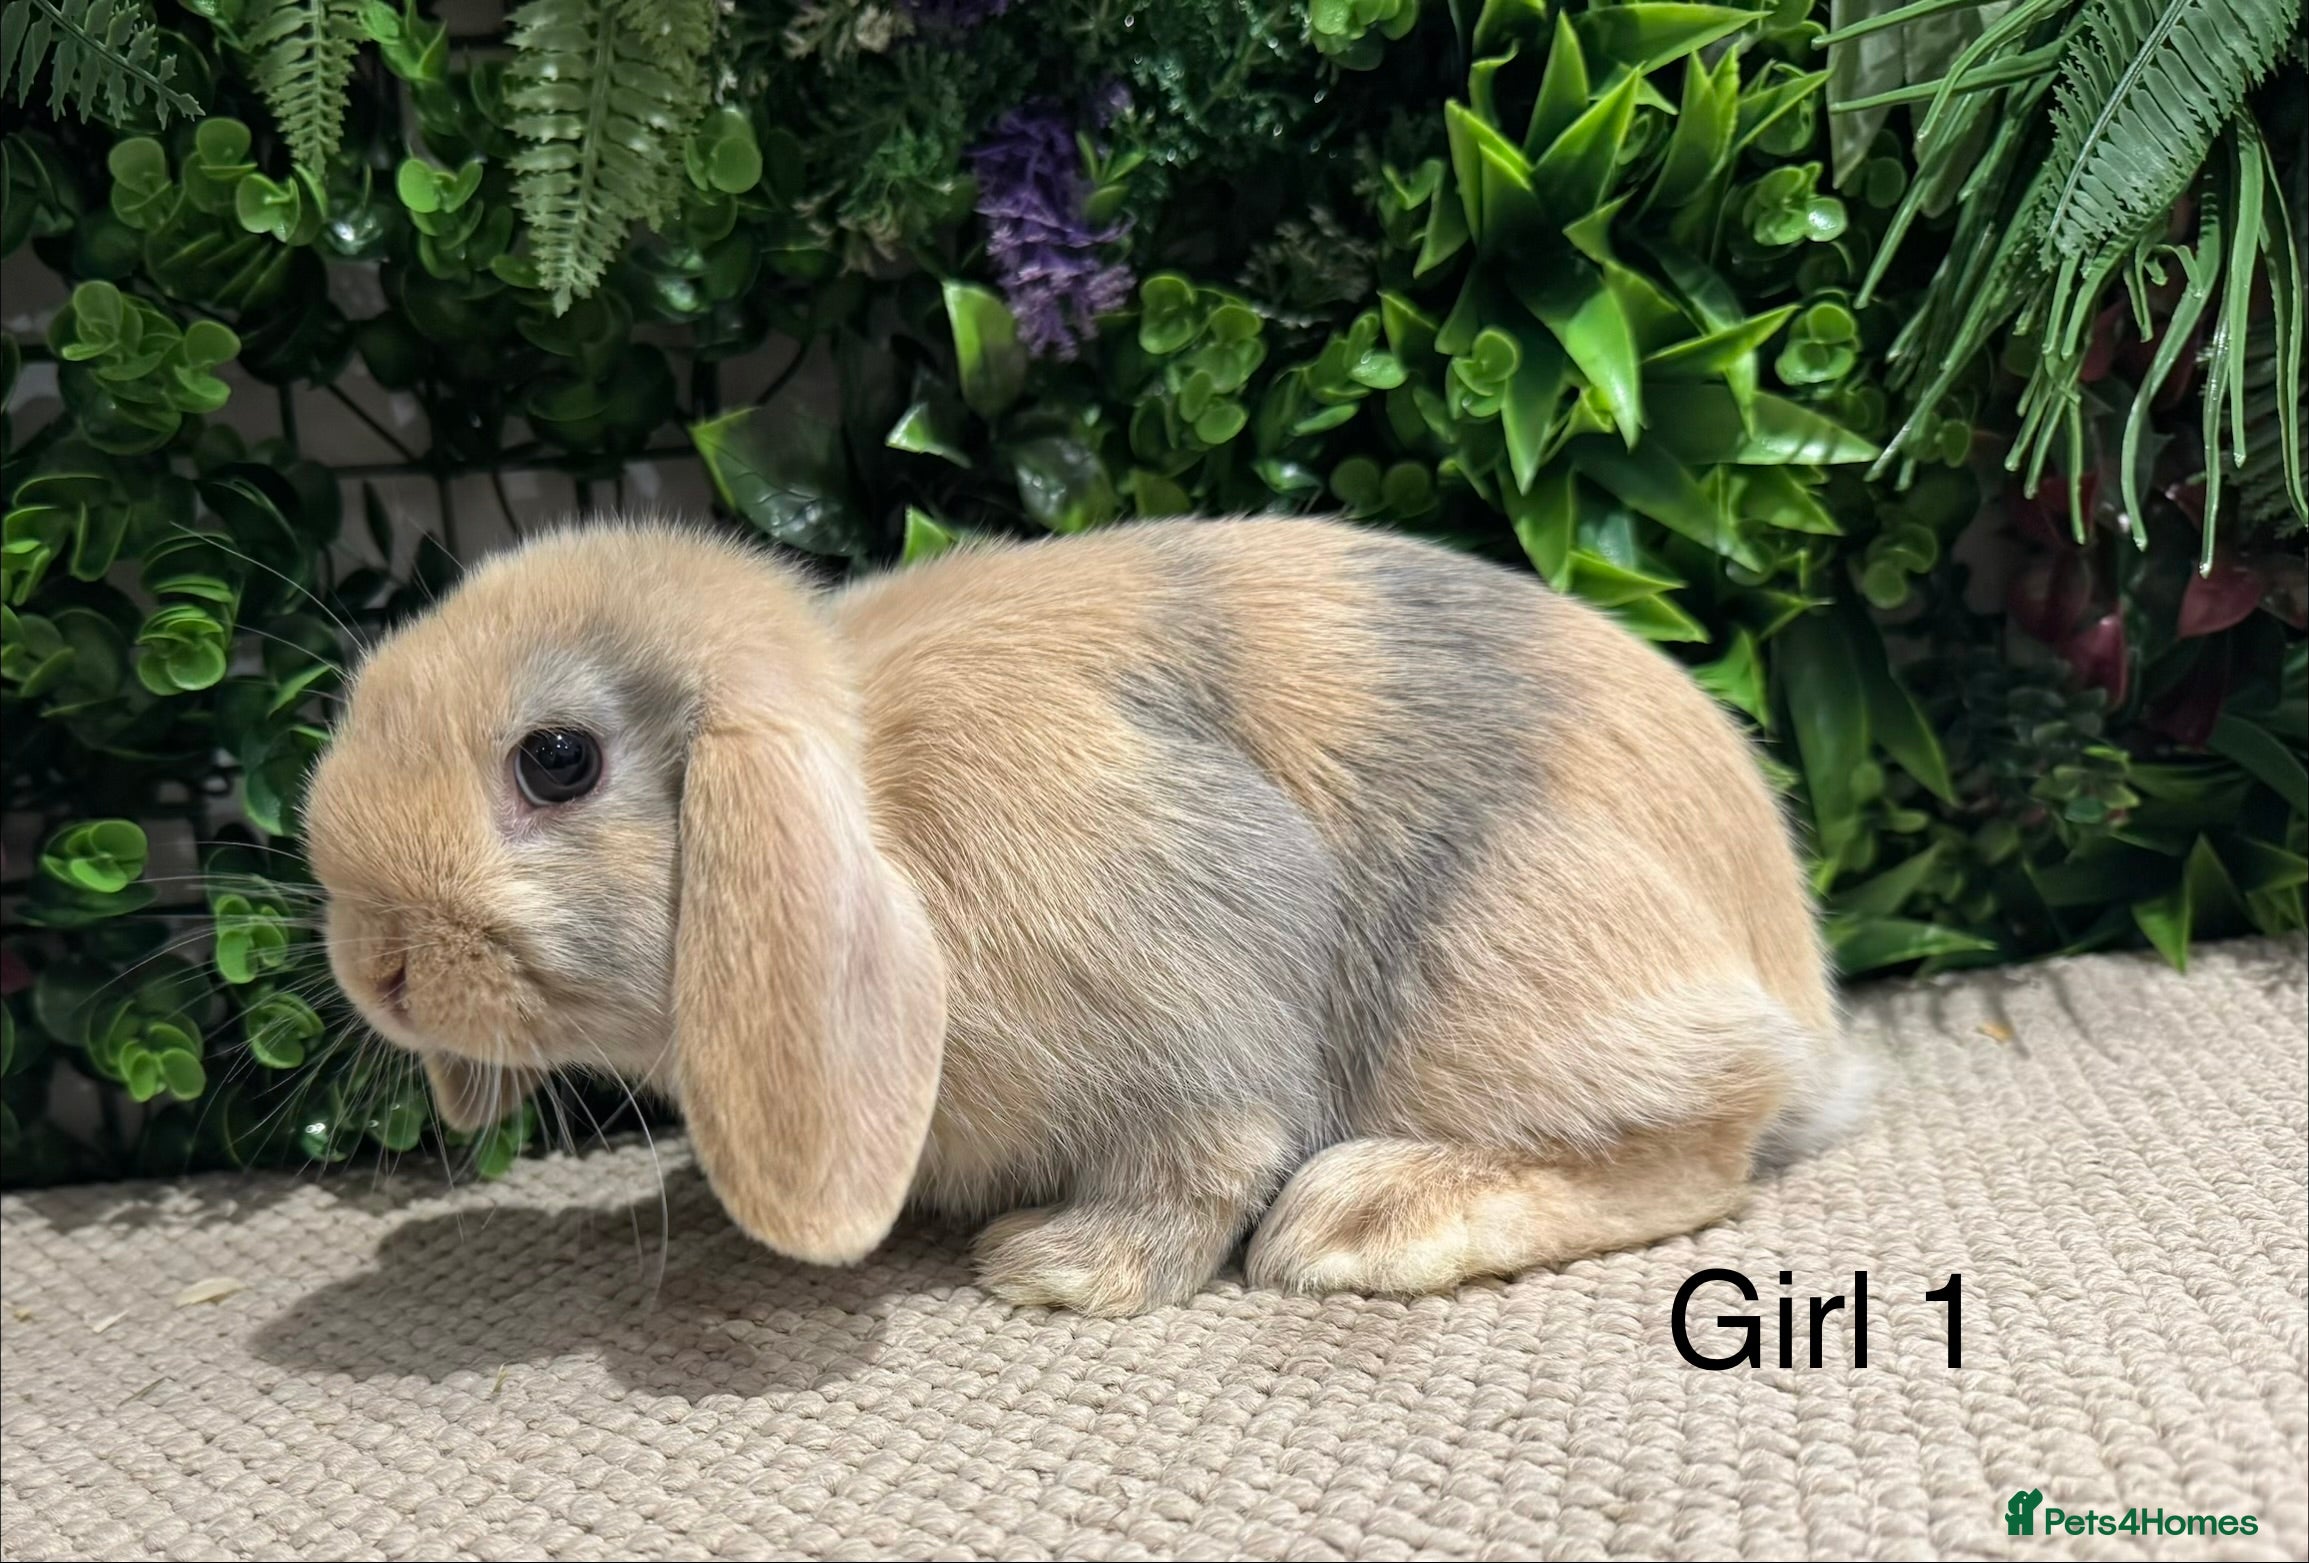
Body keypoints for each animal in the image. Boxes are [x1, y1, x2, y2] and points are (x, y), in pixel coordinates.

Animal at [304, 514, 1871, 1316]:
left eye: (557, 761)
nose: (374, 965)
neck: (882, 799)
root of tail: (1793, 977)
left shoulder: (1181, 1004)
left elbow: (1200, 1163)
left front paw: (1055, 1269)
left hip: (1494, 970)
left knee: (1700, 1150)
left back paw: (1372, 1218)